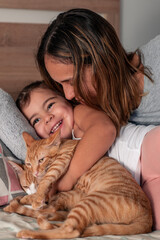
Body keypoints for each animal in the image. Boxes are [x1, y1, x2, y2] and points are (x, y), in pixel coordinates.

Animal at [3, 129, 152, 238]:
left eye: (41, 160)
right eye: (28, 164)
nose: (34, 172)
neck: (62, 144)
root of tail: (148, 217)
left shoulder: (62, 159)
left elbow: (47, 178)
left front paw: (34, 197)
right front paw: (30, 197)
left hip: (90, 201)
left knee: (70, 230)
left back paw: (29, 232)